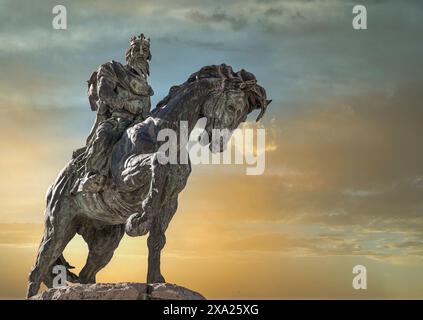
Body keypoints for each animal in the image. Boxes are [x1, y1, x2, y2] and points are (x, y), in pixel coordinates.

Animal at [26, 63, 272, 298]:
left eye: (243, 116)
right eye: (231, 107)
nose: (219, 144)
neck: (165, 131)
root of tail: (53, 187)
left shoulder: (170, 201)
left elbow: (157, 240)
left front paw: (155, 280)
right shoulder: (126, 175)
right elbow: (156, 162)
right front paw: (140, 218)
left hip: (104, 242)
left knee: (86, 273)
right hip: (59, 228)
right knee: (39, 267)